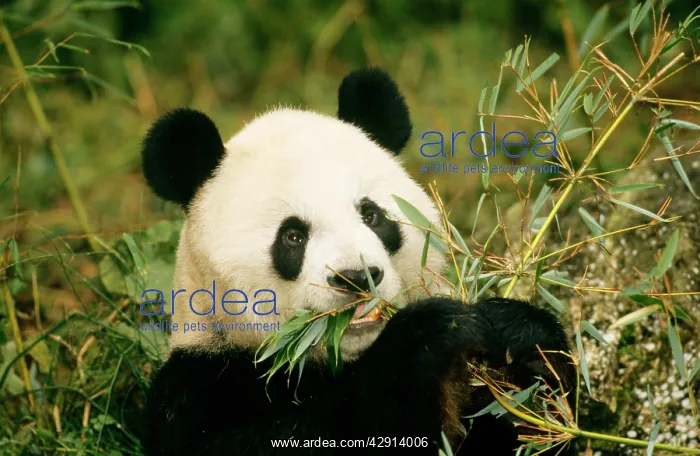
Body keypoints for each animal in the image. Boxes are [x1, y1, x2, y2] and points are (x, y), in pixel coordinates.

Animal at [140, 67, 575, 455]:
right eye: (293, 236)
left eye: (371, 215)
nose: (356, 277)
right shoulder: (203, 383)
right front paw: (428, 335)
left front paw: (522, 335)